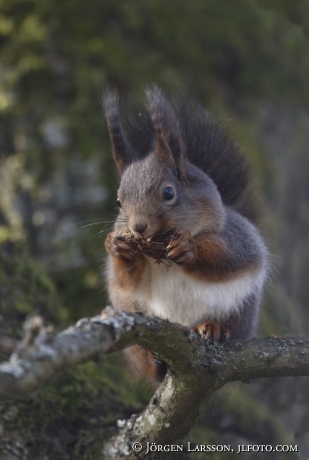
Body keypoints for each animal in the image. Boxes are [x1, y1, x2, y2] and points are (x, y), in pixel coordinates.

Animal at [103, 87, 268, 384]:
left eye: (168, 193)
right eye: (119, 201)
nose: (138, 227)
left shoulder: (237, 238)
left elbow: (225, 258)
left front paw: (188, 249)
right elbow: (126, 280)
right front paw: (118, 248)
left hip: (240, 311)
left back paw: (214, 328)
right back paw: (154, 362)